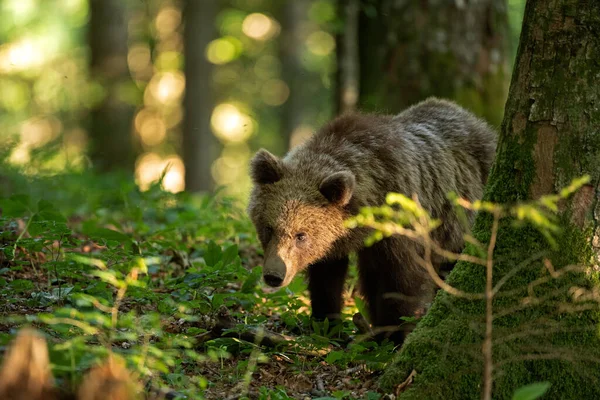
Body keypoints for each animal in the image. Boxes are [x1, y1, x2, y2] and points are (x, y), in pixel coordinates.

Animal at [246, 97, 494, 344]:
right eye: (269, 228)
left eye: (301, 235)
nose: (274, 276)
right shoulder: (336, 245)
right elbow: (327, 279)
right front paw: (326, 323)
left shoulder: (400, 225)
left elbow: (400, 282)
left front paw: (393, 335)